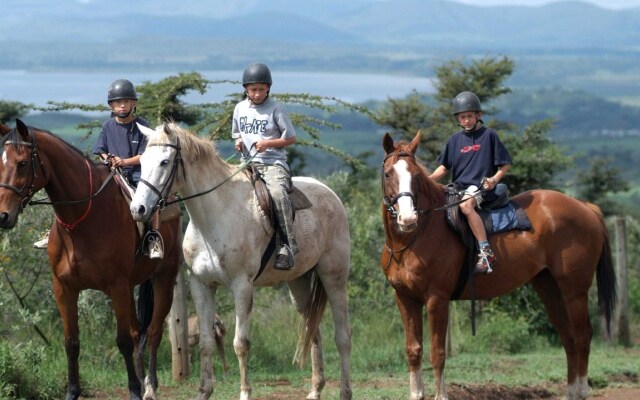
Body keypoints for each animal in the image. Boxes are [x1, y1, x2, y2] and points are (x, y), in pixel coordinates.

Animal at [0, 119, 182, 400]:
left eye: (21, 163)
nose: (3, 216)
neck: (83, 218)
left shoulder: (117, 287)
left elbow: (123, 341)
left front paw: (133, 390)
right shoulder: (64, 288)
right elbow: (71, 342)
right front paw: (73, 392)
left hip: (164, 277)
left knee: (152, 332)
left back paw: (149, 387)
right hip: (132, 286)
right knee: (137, 332)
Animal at [128, 122, 352, 400]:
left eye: (164, 161)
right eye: (142, 160)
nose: (138, 209)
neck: (215, 214)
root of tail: (332, 195)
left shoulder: (242, 285)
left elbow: (240, 344)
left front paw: (245, 393)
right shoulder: (201, 285)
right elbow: (205, 343)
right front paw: (204, 392)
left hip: (334, 277)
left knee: (343, 337)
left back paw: (345, 391)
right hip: (299, 282)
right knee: (314, 330)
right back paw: (315, 390)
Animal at [380, 132, 616, 400]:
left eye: (416, 176)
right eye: (387, 174)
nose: (408, 219)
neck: (415, 237)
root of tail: (586, 207)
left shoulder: (436, 299)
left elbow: (437, 353)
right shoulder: (405, 298)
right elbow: (413, 349)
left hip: (574, 289)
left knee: (582, 335)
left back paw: (582, 390)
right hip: (550, 288)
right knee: (569, 338)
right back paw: (571, 391)